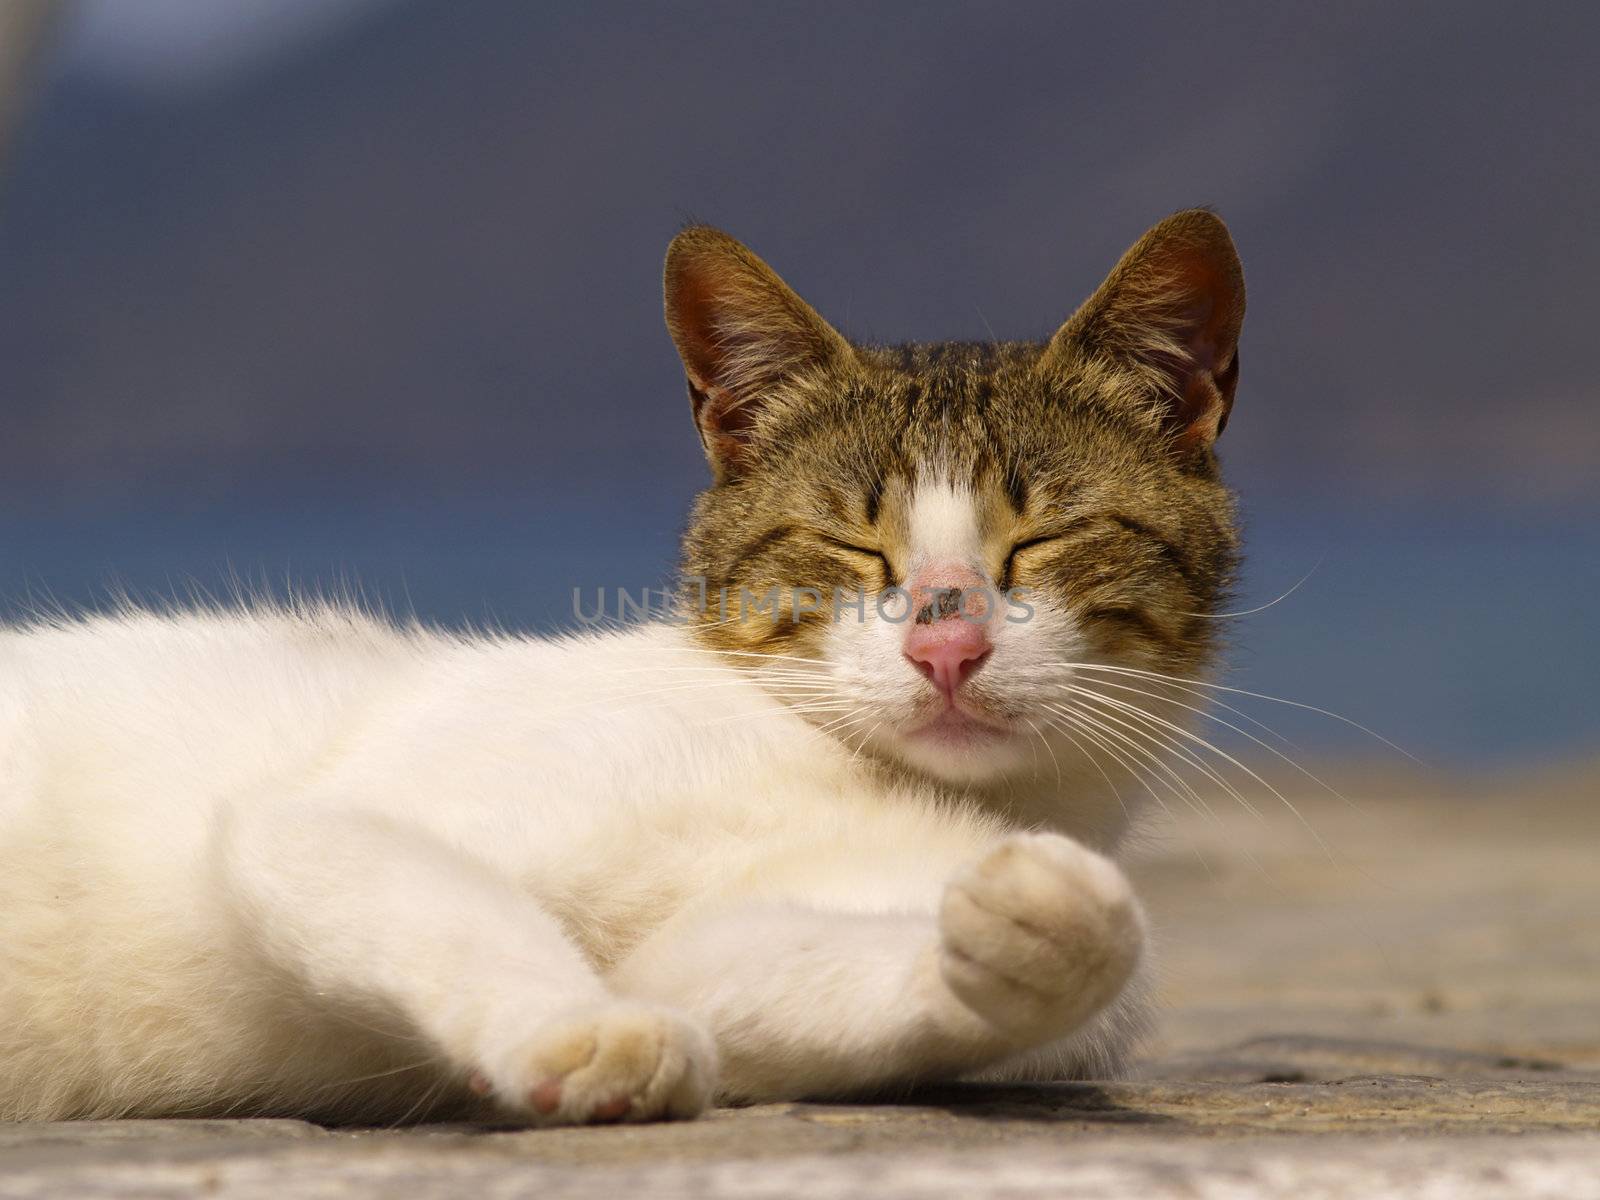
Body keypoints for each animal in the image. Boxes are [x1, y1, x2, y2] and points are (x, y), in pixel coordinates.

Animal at [0, 209, 1235, 1126]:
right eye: (848, 544)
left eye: (1045, 536)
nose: (946, 643)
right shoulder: (325, 821)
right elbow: (454, 906)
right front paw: (580, 1030)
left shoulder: (718, 947)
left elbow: (766, 976)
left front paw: (1029, 930)